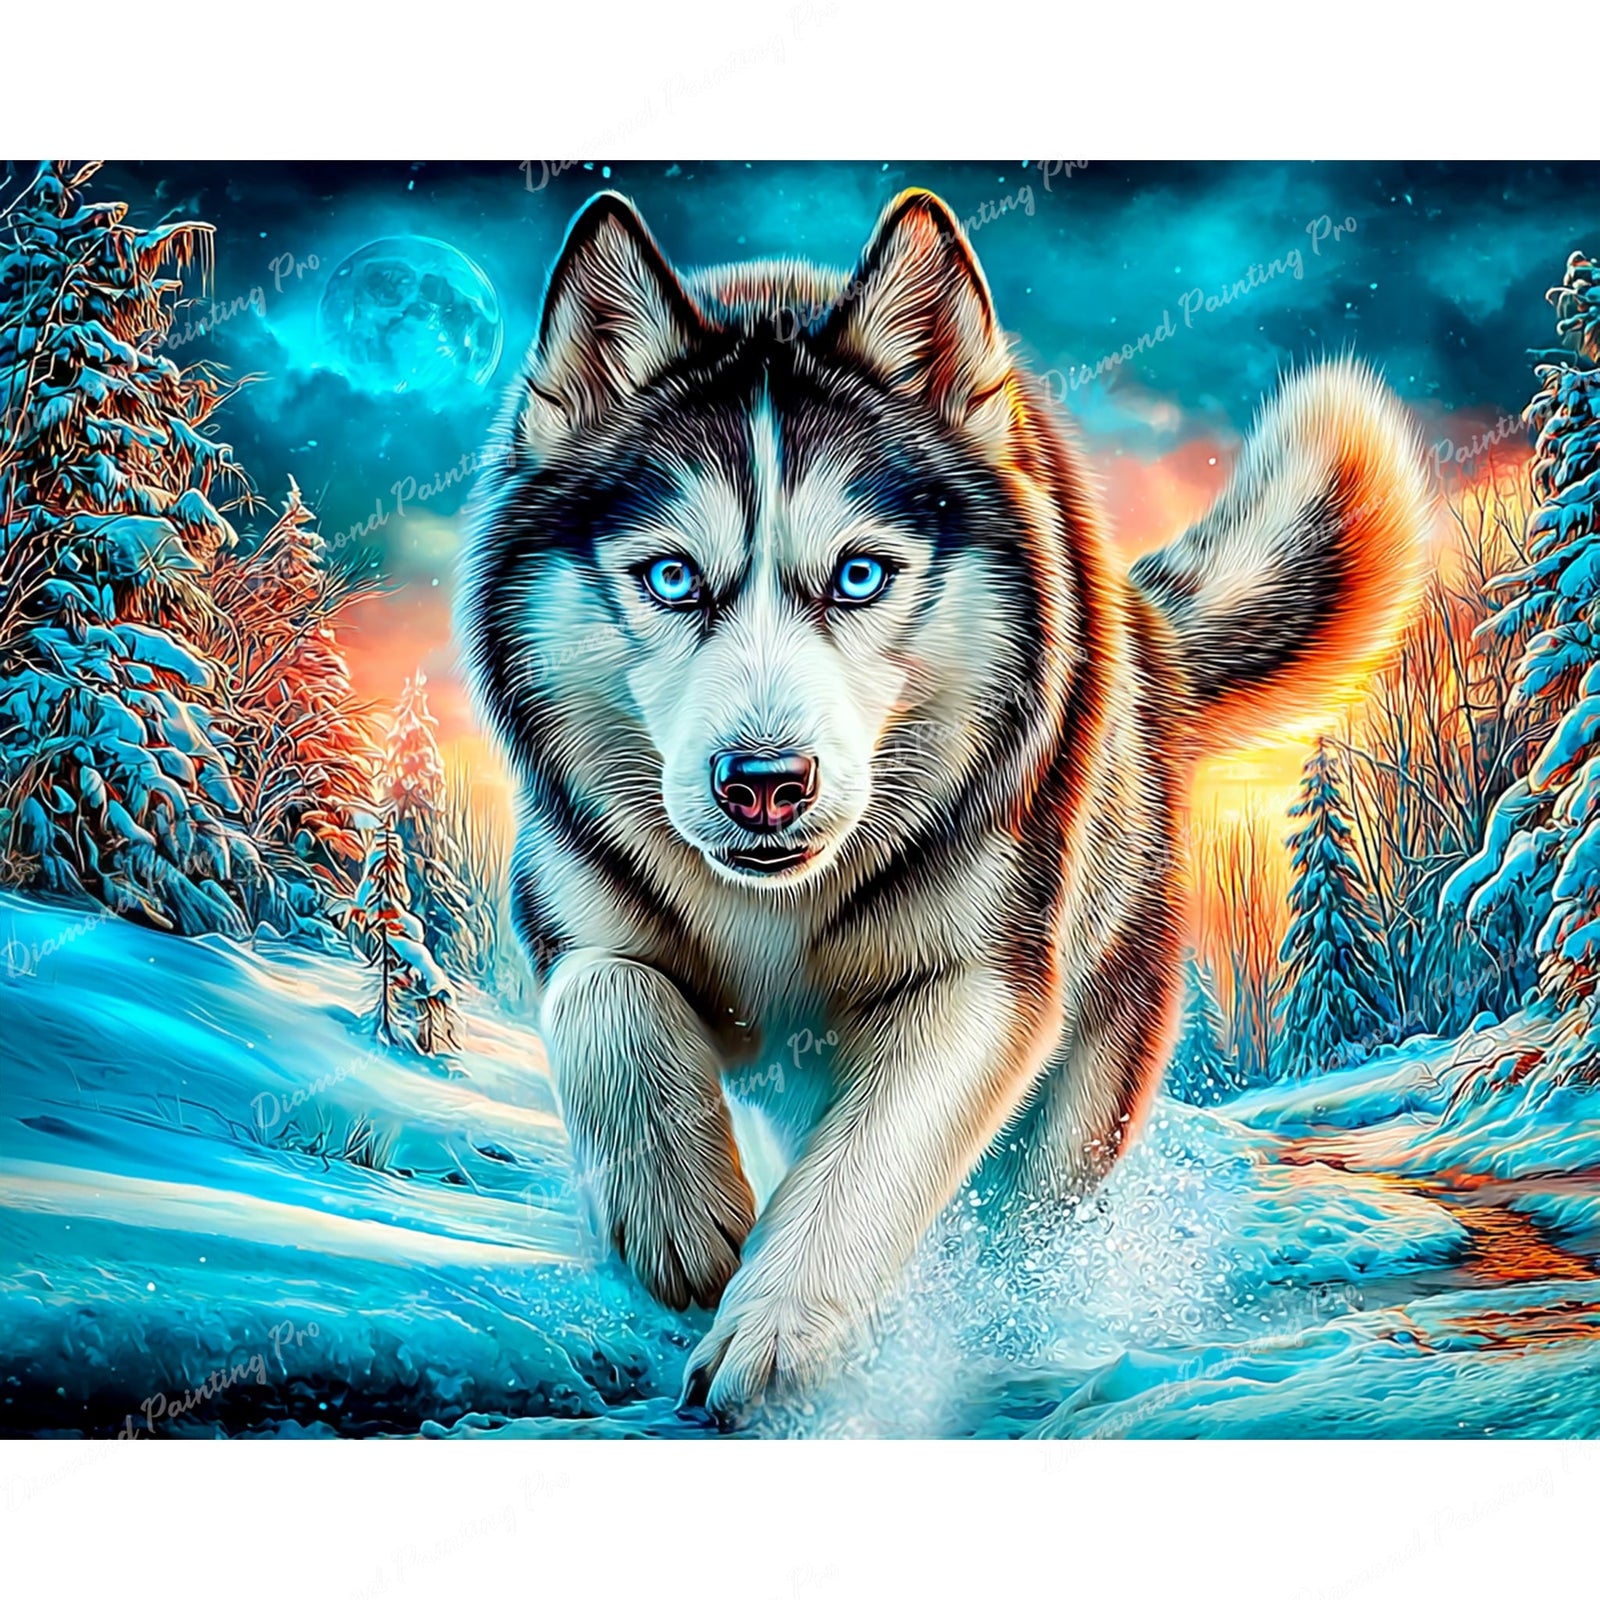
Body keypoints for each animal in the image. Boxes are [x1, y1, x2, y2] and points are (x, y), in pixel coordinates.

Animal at [463, 188, 1430, 1426]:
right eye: (672, 578)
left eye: (860, 575)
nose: (763, 782)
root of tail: (1144, 636)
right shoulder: (576, 917)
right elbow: (605, 995)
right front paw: (678, 1219)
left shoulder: (982, 981)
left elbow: (869, 1161)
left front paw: (780, 1332)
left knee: (1027, 1221)